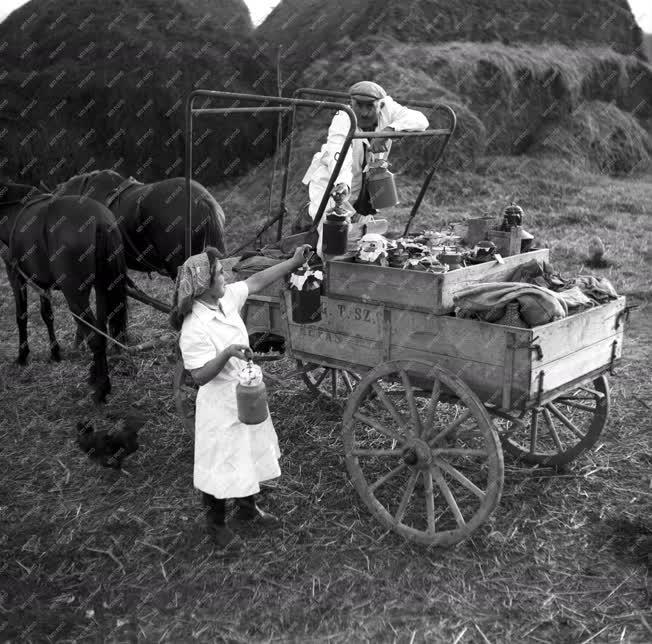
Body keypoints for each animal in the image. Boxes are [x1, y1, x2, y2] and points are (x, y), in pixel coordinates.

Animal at [0, 181, 129, 402]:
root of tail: (100, 220)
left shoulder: (15, 275)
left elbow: (21, 317)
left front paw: (22, 356)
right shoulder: (43, 284)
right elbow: (47, 315)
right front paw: (55, 353)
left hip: (75, 295)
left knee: (94, 336)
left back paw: (101, 389)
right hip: (102, 287)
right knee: (100, 331)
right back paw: (95, 376)